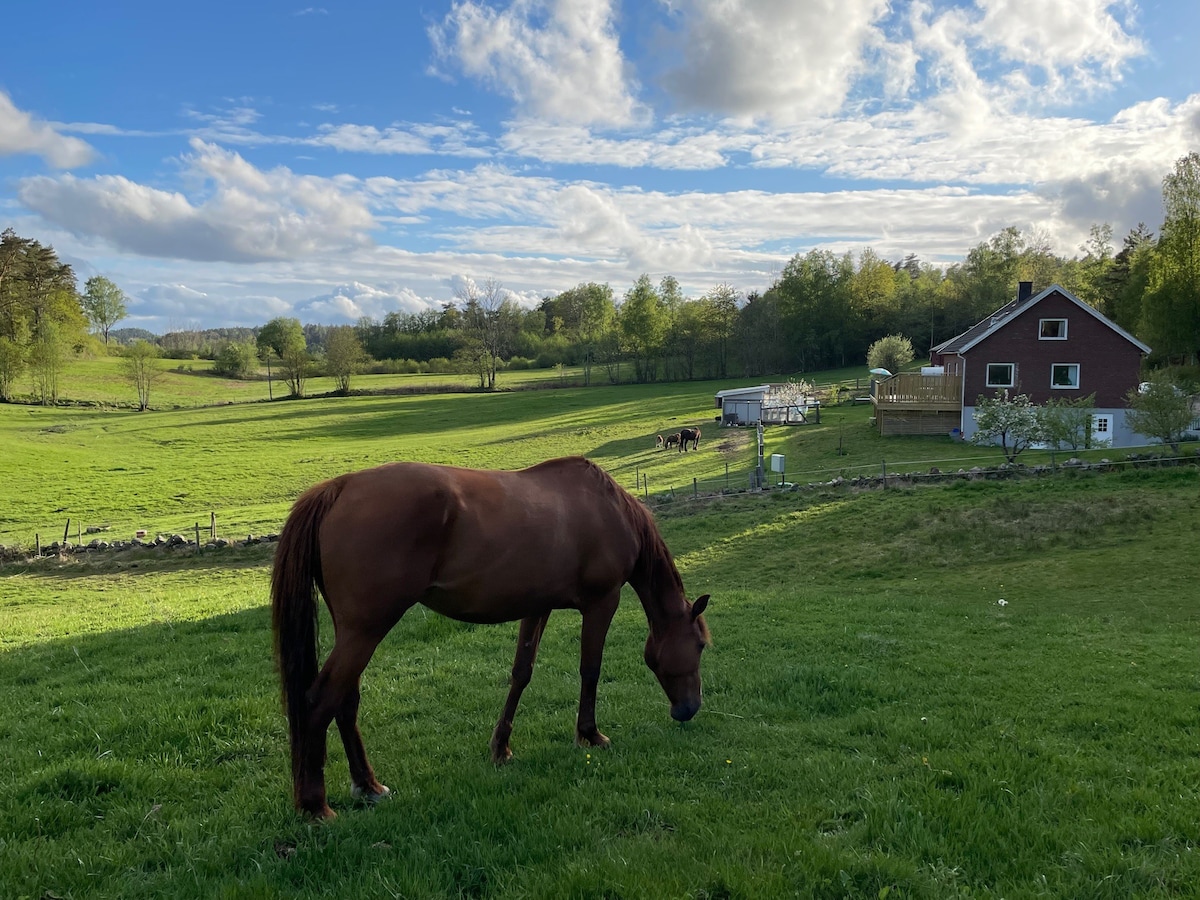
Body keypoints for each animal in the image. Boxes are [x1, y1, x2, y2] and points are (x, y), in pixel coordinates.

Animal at [270, 458, 710, 816]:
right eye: (702, 645)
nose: (689, 710)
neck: (609, 509)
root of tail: (340, 487)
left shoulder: (537, 607)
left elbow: (521, 673)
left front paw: (501, 748)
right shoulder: (602, 603)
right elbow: (590, 670)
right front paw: (589, 734)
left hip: (355, 632)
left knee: (345, 702)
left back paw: (368, 786)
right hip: (365, 630)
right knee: (319, 700)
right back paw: (315, 805)